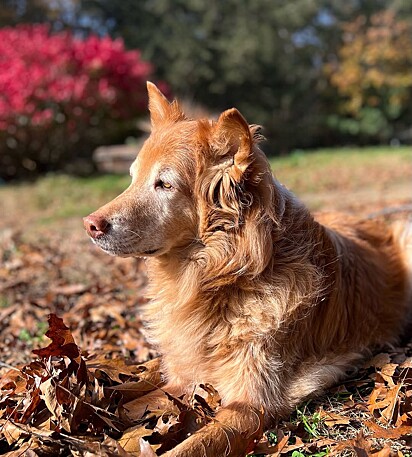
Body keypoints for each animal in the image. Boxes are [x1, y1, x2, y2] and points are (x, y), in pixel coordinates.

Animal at [83, 83, 412, 456]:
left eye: (164, 184)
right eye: (132, 178)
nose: (90, 225)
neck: (222, 277)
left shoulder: (250, 406)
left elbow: (190, 447)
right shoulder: (181, 374)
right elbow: (137, 391)